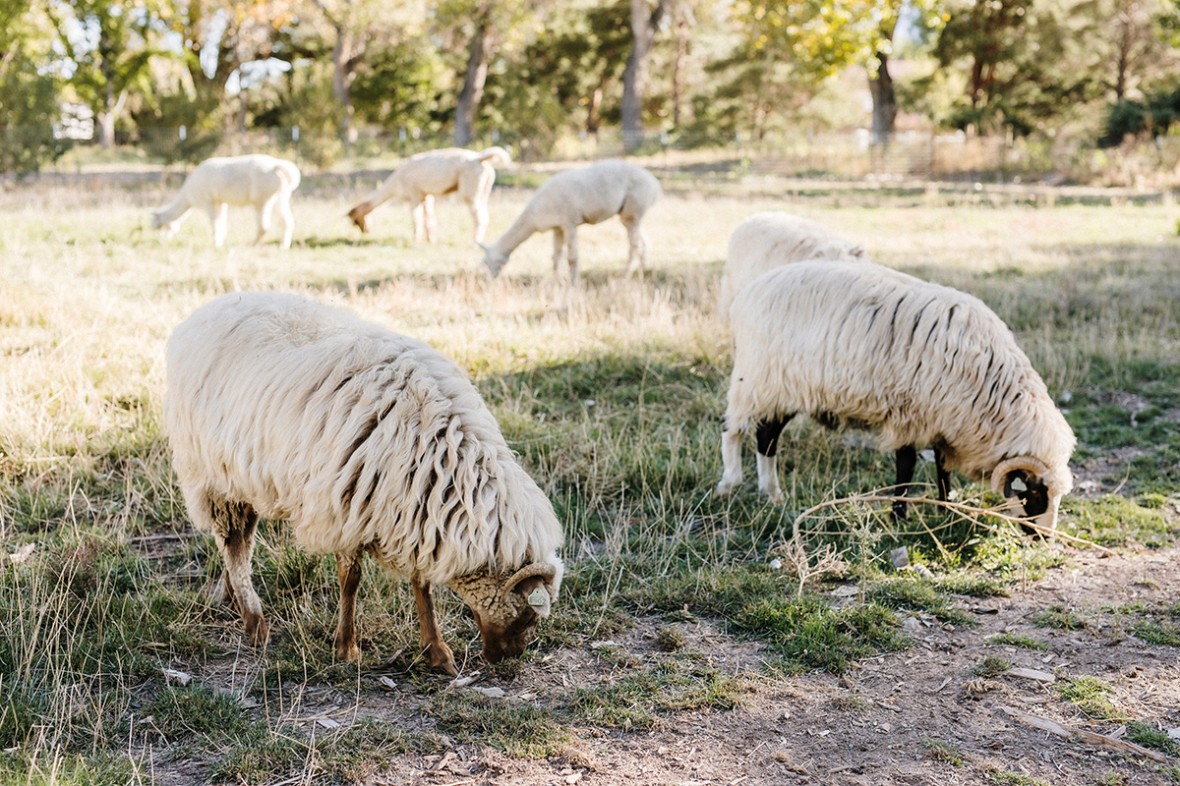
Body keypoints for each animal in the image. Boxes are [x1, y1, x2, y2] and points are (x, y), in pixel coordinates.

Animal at [151, 154, 301, 249]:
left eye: (157, 223)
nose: (161, 239)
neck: (188, 197)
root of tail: (278, 165)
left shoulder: (208, 202)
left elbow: (215, 224)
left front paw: (216, 244)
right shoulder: (220, 202)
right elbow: (222, 222)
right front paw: (221, 242)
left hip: (262, 198)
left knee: (264, 226)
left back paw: (250, 244)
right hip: (280, 197)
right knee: (287, 221)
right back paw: (283, 246)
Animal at [164, 291, 564, 675]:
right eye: (528, 615)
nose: (507, 658)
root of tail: (205, 311)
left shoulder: (412, 508)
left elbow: (421, 584)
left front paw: (436, 651)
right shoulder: (347, 507)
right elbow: (350, 579)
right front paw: (347, 647)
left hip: (240, 475)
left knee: (236, 542)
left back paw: (232, 596)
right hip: (212, 473)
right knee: (235, 544)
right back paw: (254, 621)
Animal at [347, 147, 511, 244]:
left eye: (356, 221)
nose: (365, 231)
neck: (395, 185)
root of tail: (479, 158)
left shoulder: (414, 195)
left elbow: (417, 219)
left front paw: (415, 241)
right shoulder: (426, 196)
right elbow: (429, 219)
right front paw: (431, 240)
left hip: (470, 192)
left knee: (480, 217)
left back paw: (473, 242)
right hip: (483, 191)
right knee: (485, 215)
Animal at [480, 160, 661, 284]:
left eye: (487, 262)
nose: (486, 280)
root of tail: (655, 184)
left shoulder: (570, 222)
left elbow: (572, 257)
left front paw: (574, 284)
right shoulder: (557, 227)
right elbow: (556, 256)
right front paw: (556, 282)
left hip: (633, 208)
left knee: (634, 246)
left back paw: (625, 277)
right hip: (629, 215)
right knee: (643, 242)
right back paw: (642, 274)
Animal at [715, 259, 1075, 533]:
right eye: (1034, 492)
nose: (1045, 538)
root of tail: (750, 292)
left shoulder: (943, 421)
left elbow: (942, 466)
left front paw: (945, 507)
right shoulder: (910, 413)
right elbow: (907, 466)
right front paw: (899, 515)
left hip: (785, 390)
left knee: (767, 436)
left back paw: (772, 494)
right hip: (756, 380)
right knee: (733, 428)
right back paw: (729, 483)